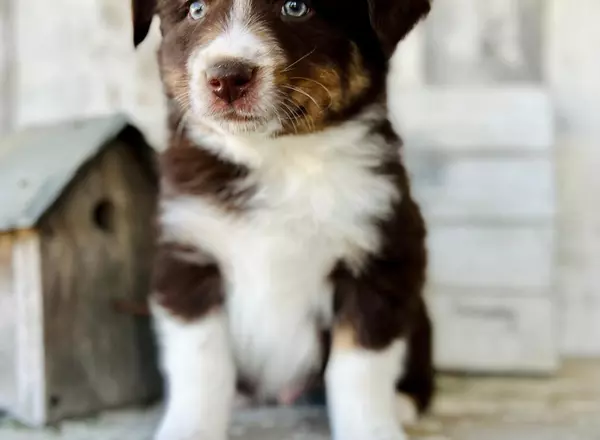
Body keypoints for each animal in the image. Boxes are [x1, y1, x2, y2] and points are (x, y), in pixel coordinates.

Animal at [131, 0, 434, 440]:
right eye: (196, 9)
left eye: (295, 7)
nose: (227, 77)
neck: (277, 157)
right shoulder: (188, 254)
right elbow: (201, 364)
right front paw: (189, 429)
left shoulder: (383, 254)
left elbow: (359, 368)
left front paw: (374, 428)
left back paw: (405, 402)